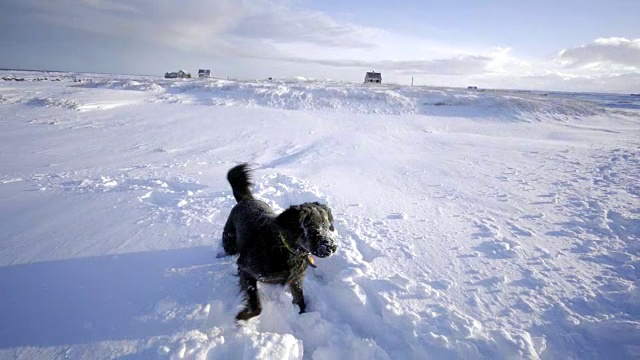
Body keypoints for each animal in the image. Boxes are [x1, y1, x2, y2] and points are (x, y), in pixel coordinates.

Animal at [222, 163, 338, 320]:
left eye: (327, 226)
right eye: (312, 229)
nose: (332, 247)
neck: (283, 248)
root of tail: (246, 200)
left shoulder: (296, 279)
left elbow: (300, 300)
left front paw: (302, 315)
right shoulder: (246, 270)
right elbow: (256, 305)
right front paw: (244, 315)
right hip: (229, 242)